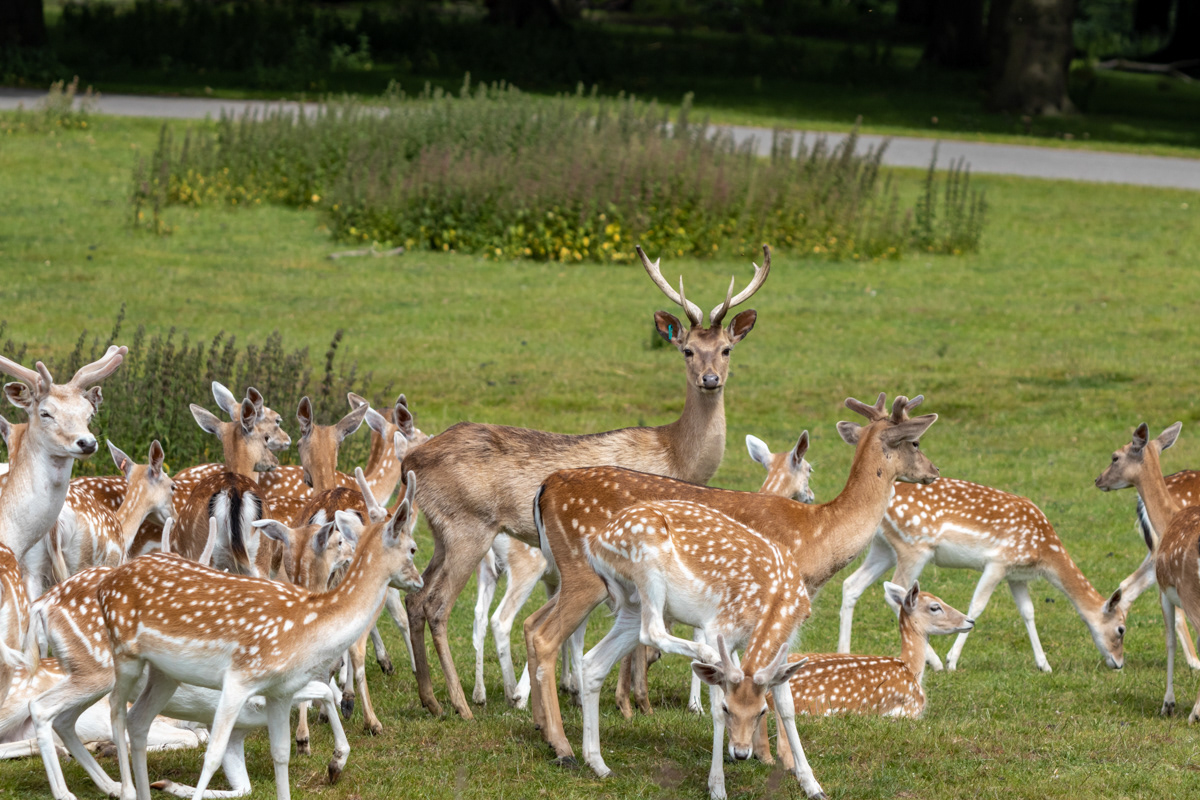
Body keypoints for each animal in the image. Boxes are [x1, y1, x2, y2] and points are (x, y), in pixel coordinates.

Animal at [98, 468, 423, 800]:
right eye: (413, 548)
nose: (419, 581)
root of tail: (108, 584)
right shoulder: (238, 681)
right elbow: (212, 755)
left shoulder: (279, 691)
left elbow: (280, 752)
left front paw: (321, 751)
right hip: (125, 659)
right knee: (116, 712)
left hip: (165, 673)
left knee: (138, 722)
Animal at [402, 245, 769, 719]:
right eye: (687, 350)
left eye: (726, 349)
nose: (710, 379)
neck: (676, 456)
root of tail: (410, 460)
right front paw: (636, 703)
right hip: (469, 527)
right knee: (437, 604)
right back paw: (461, 703)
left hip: (441, 530)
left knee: (415, 597)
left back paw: (430, 699)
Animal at [524, 394, 938, 767]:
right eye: (916, 442)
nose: (933, 471)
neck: (817, 537)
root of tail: (544, 489)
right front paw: (771, 757)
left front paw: (768, 754)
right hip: (583, 573)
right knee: (546, 636)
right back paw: (563, 747)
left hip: (580, 578)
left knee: (531, 623)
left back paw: (542, 728)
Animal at [833, 477, 1127, 674]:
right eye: (1121, 629)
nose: (1118, 663)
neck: (1045, 552)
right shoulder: (998, 562)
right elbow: (977, 605)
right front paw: (951, 660)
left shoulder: (1016, 575)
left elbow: (1028, 612)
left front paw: (1044, 664)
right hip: (913, 547)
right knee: (897, 592)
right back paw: (934, 661)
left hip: (883, 547)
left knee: (851, 584)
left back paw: (843, 652)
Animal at [1095, 422, 1200, 722]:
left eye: (1115, 456)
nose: (1098, 480)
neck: (1169, 519)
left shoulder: (1166, 591)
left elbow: (1169, 641)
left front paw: (1168, 704)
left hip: (1190, 591)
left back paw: (1195, 712)